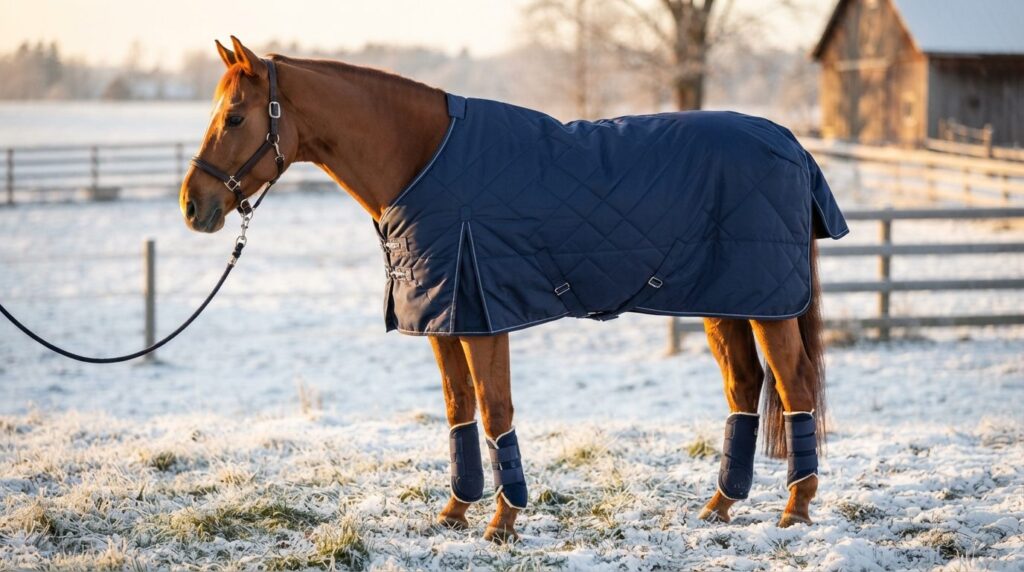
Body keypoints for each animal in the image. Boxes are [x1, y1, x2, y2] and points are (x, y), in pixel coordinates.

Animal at [180, 37, 846, 543]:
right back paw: (720, 506)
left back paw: (795, 509)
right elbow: (460, 409)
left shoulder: (481, 315)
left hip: (768, 307)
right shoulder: (443, 318)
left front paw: (503, 520)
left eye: (235, 117)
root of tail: (791, 143)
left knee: (794, 385)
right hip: (725, 301)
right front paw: (455, 510)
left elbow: (495, 407)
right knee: (745, 386)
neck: (422, 160)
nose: (193, 206)